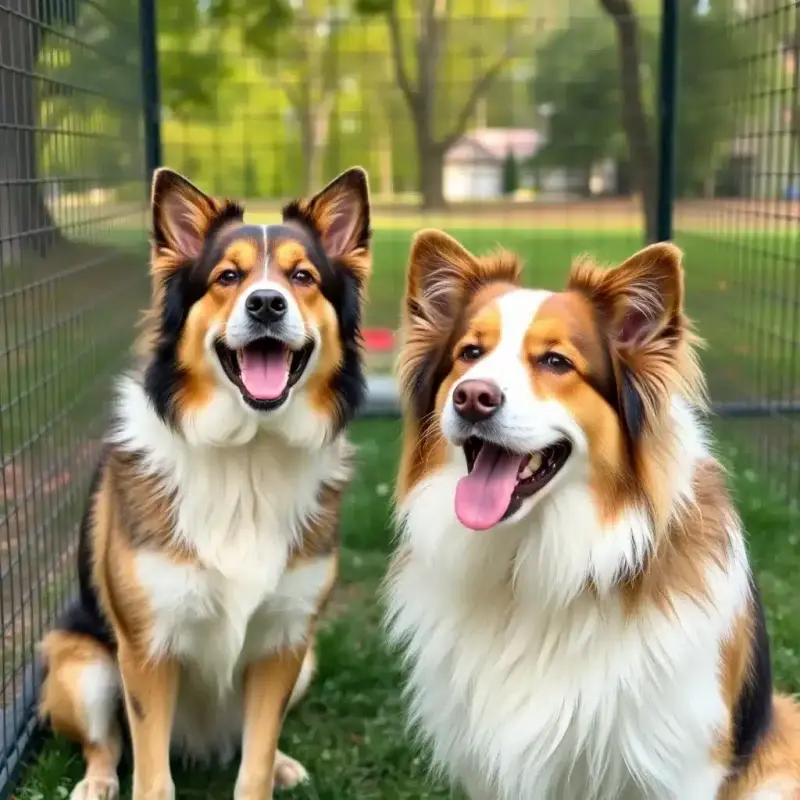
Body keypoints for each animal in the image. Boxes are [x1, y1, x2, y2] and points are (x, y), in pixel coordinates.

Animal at [37, 166, 372, 800]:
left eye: (302, 277)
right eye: (228, 277)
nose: (265, 304)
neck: (246, 454)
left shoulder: (283, 640)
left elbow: (255, 763)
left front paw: (271, 767)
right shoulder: (145, 649)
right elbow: (149, 773)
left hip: (306, 660)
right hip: (82, 667)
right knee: (104, 743)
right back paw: (96, 782)